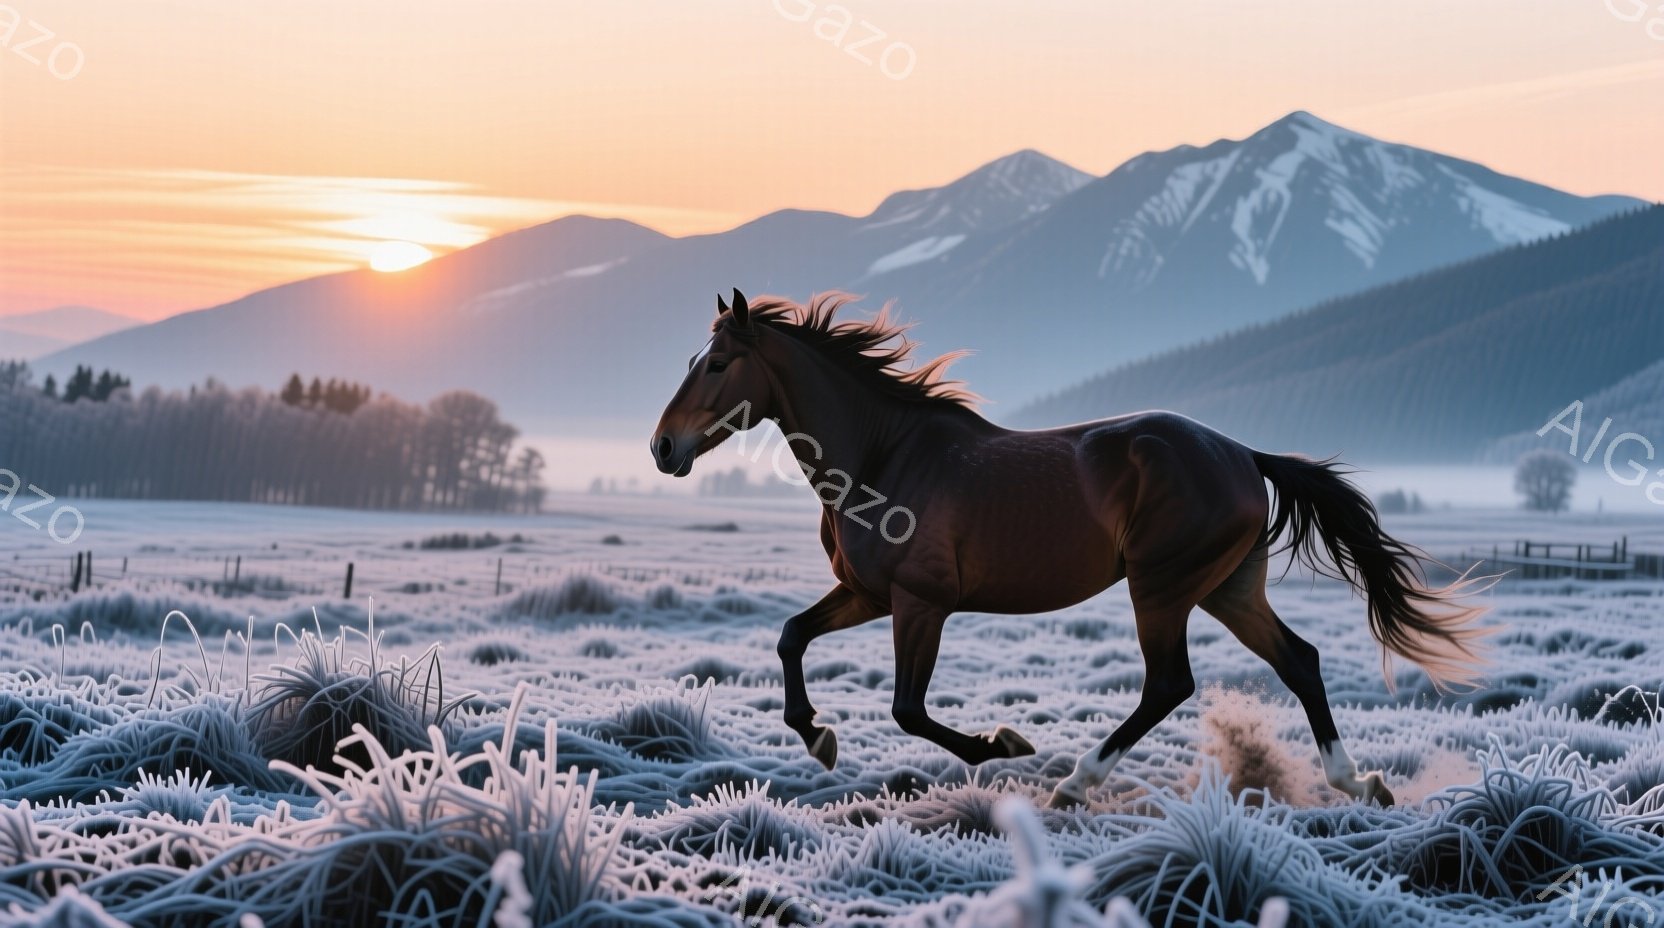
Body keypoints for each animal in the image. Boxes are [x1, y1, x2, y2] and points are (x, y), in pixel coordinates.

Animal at [650, 289, 1489, 808]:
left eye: (717, 365)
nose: (663, 448)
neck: (883, 457)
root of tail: (1244, 456)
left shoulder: (922, 603)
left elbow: (908, 709)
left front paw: (1002, 743)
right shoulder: (866, 594)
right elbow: (792, 637)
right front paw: (819, 737)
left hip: (1161, 588)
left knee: (1170, 684)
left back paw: (1075, 782)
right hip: (1228, 588)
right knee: (1299, 661)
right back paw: (1359, 783)